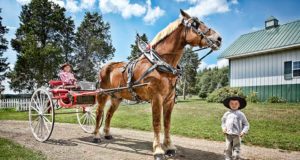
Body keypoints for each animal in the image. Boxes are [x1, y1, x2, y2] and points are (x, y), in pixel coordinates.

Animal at [92, 9, 221, 159]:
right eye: (195, 24)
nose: (219, 39)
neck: (161, 63)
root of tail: (104, 67)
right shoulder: (156, 97)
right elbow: (157, 123)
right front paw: (158, 149)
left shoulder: (169, 100)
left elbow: (167, 123)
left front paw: (169, 147)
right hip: (102, 94)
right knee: (99, 113)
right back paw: (96, 136)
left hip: (117, 97)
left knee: (109, 114)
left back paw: (107, 134)